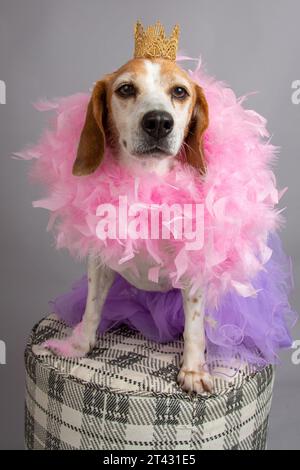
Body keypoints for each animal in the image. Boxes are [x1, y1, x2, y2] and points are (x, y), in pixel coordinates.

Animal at [46, 59, 211, 396]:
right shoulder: (100, 263)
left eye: (179, 92)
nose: (158, 122)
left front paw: (192, 369)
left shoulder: (193, 268)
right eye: (125, 89)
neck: (145, 183)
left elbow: (194, 325)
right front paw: (79, 345)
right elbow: (92, 306)